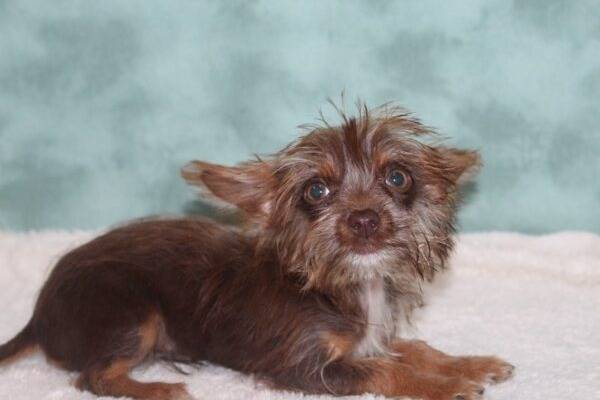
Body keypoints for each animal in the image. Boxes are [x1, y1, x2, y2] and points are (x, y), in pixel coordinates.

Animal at [0, 104, 513, 400]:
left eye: (398, 177)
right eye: (317, 190)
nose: (365, 219)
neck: (344, 285)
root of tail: (39, 314)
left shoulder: (374, 338)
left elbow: (417, 348)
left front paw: (469, 364)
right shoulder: (304, 367)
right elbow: (384, 372)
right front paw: (447, 385)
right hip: (132, 314)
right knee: (93, 377)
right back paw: (161, 389)